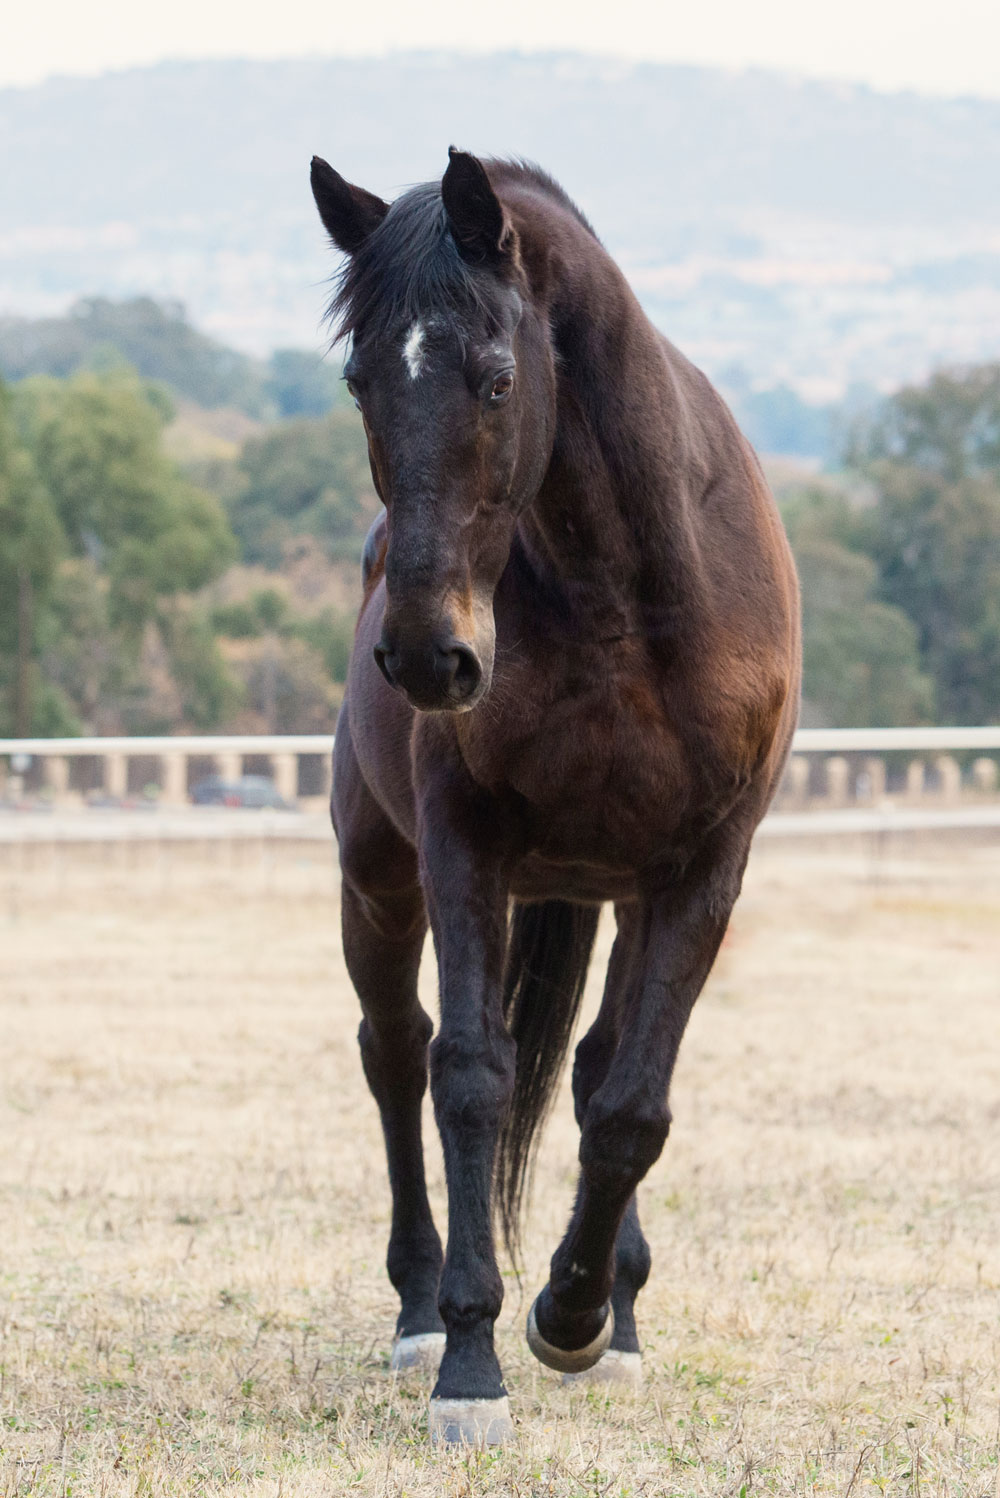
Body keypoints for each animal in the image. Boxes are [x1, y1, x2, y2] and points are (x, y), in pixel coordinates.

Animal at [308, 149, 802, 1438]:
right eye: (358, 379)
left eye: (494, 378)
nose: (428, 658)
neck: (627, 591)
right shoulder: (464, 850)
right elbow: (469, 1078)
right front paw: (472, 1359)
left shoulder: (700, 872)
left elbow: (628, 1103)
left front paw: (575, 1316)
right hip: (377, 880)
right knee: (395, 1052)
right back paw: (418, 1308)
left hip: (611, 888)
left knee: (590, 1071)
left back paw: (609, 1316)